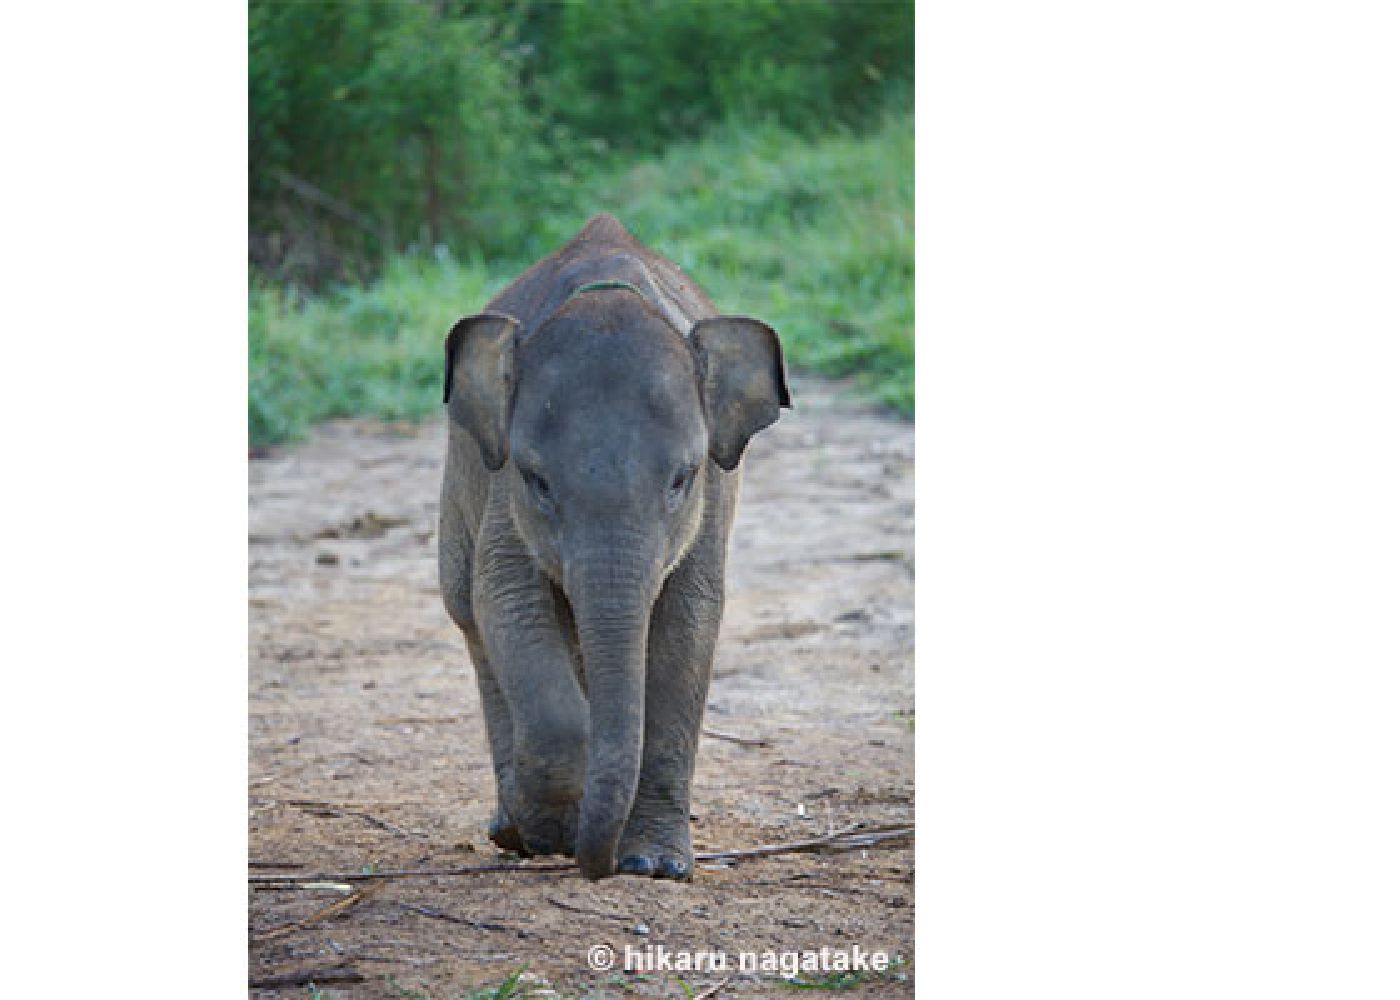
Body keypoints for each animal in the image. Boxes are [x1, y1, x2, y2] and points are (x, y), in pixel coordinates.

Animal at [436, 214, 789, 873]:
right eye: (537, 479)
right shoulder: (501, 491)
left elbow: (689, 623)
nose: (594, 862)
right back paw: (513, 831)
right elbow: (505, 597)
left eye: (682, 478)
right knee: (469, 614)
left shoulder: (710, 504)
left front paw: (653, 866)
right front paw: (552, 831)